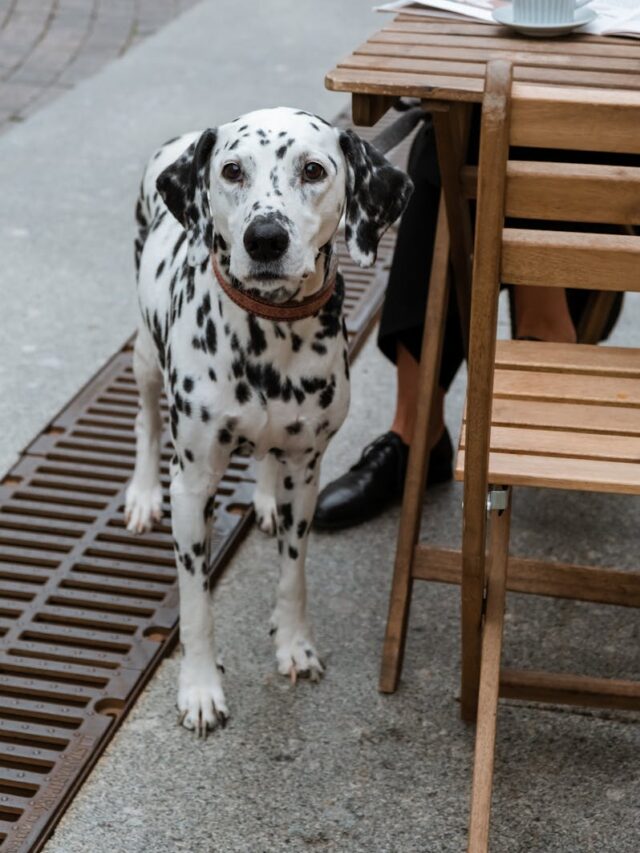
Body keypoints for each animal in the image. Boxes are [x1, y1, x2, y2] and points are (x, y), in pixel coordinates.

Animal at [124, 105, 412, 732]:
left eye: (314, 169)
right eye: (232, 169)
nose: (265, 238)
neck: (269, 336)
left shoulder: (307, 473)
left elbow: (293, 575)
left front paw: (294, 645)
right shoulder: (193, 486)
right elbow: (197, 604)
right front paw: (199, 687)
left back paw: (260, 497)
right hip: (144, 356)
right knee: (146, 421)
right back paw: (141, 493)